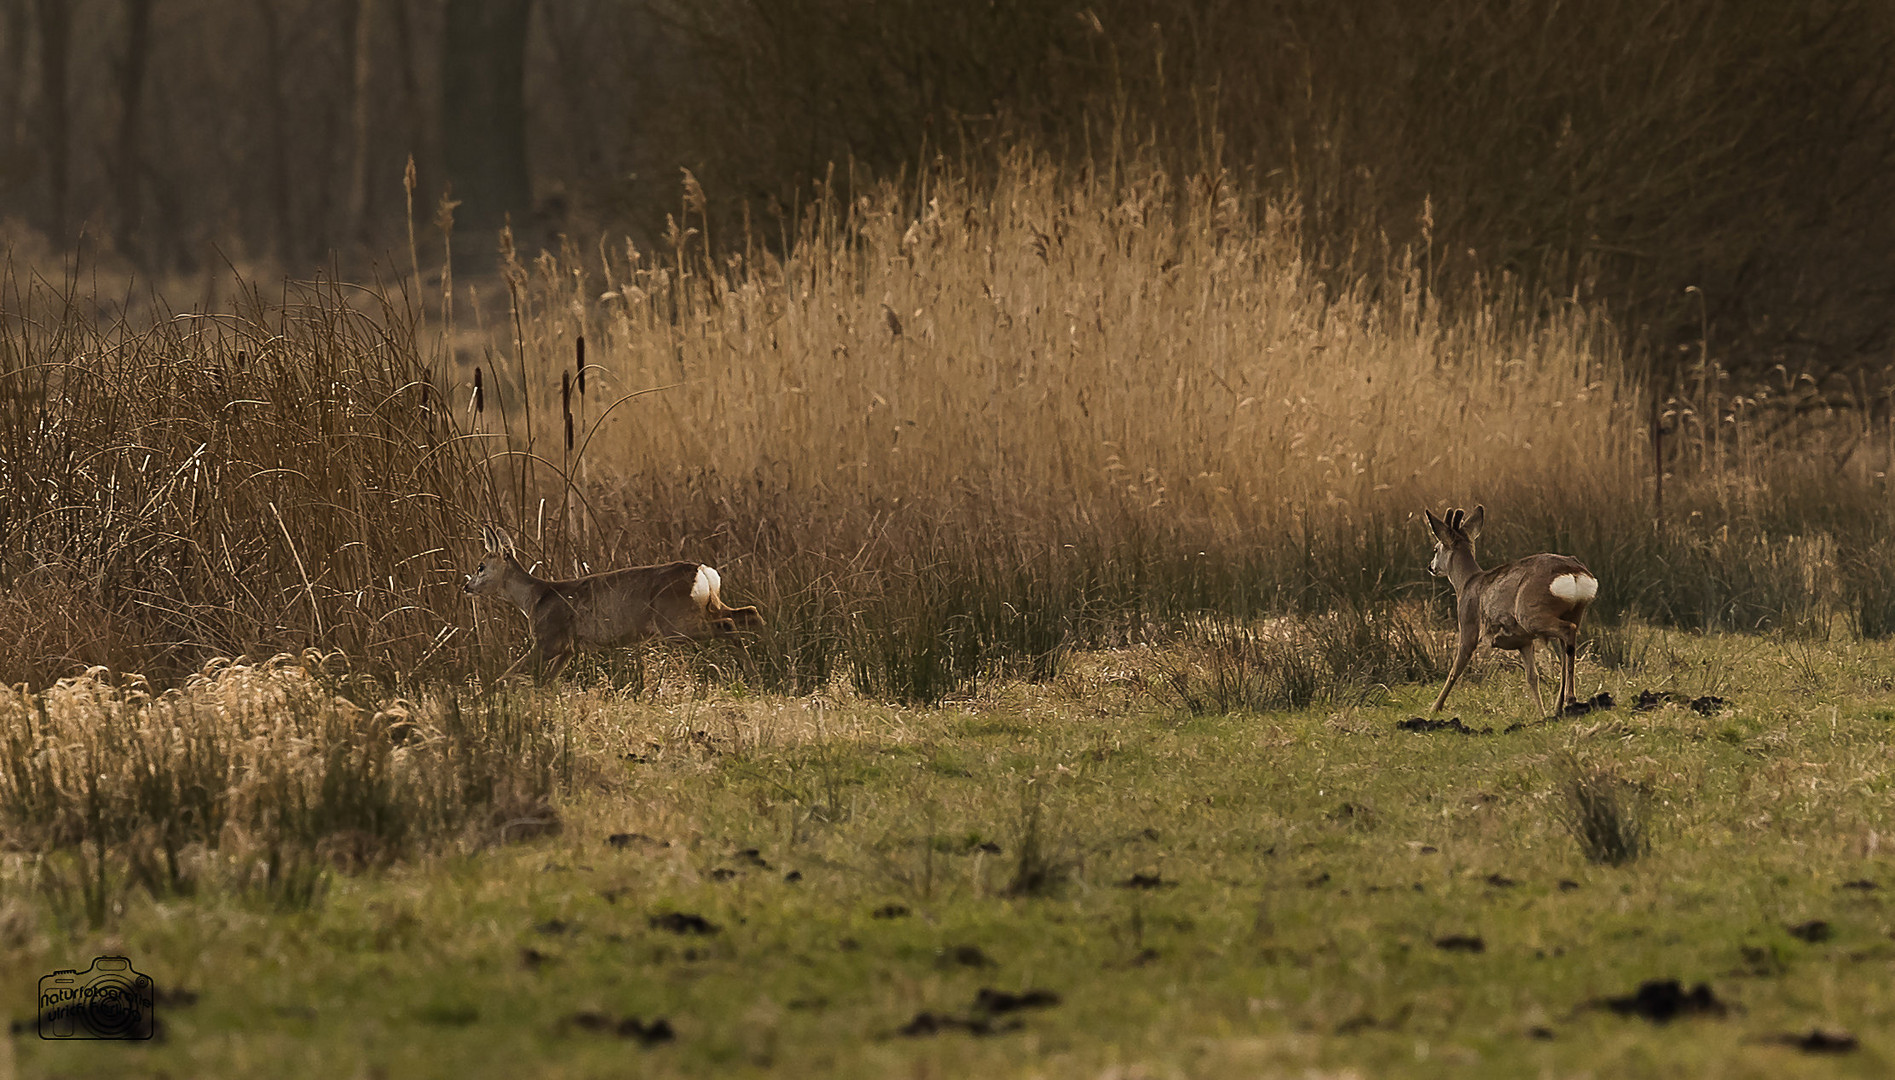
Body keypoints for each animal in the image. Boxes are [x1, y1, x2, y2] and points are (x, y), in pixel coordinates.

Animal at [464, 522, 761, 682]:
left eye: (480, 566)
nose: (466, 587)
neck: (534, 598)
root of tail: (702, 571)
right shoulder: (569, 648)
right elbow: (546, 682)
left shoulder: (549, 639)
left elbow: (510, 672)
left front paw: (487, 693)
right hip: (705, 607)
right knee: (749, 612)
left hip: (676, 622)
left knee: (728, 623)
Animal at [1425, 504, 1599, 716]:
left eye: (1436, 548)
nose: (1431, 567)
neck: (1466, 583)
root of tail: (1574, 571)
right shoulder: (1524, 641)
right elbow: (1532, 677)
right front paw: (1541, 713)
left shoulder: (1468, 623)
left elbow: (1455, 670)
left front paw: (1435, 707)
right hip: (1575, 611)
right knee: (1566, 650)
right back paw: (1559, 706)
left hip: (1530, 613)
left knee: (1568, 631)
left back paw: (1570, 698)